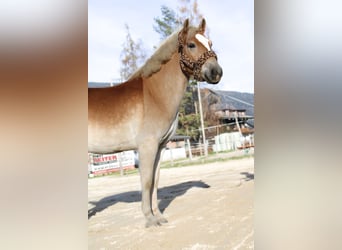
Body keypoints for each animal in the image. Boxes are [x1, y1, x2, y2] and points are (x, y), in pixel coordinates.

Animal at [87, 18, 223, 228]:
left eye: (210, 43)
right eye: (191, 45)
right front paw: (150, 219)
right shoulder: (147, 146)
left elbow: (156, 182)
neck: (155, 95)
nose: (216, 72)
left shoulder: (160, 147)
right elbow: (147, 181)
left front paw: (158, 216)